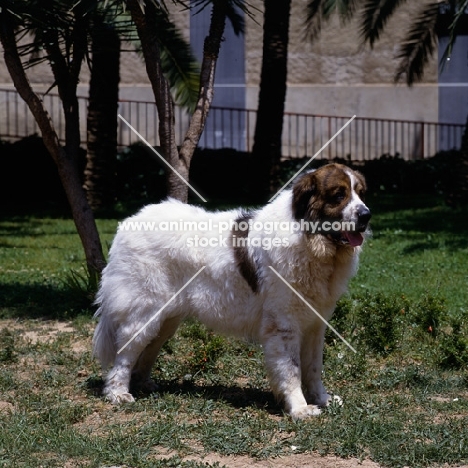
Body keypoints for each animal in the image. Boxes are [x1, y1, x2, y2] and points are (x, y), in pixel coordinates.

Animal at [93, 163, 372, 418]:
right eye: (338, 195)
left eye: (360, 193)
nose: (366, 214)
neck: (311, 240)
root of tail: (129, 222)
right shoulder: (284, 325)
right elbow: (292, 369)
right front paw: (300, 408)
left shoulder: (315, 324)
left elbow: (313, 367)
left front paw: (322, 399)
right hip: (145, 311)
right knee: (126, 350)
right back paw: (118, 392)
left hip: (167, 319)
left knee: (149, 348)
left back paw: (144, 383)